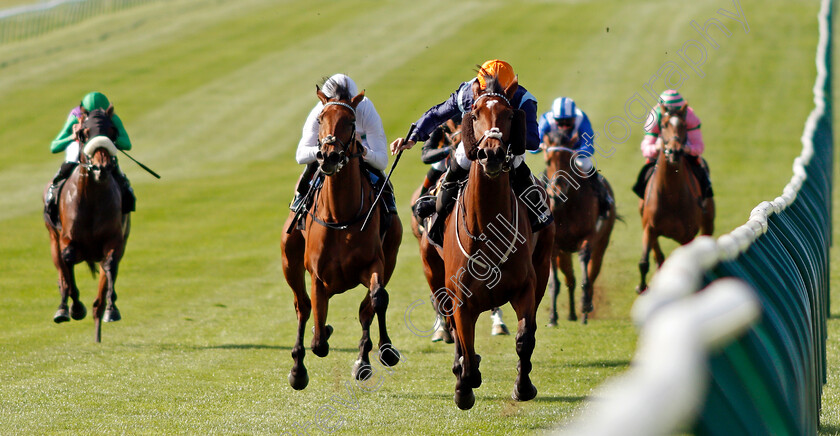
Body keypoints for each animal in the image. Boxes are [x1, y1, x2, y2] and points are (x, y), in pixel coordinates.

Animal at [44, 106, 130, 344]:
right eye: (84, 132)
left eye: (112, 131)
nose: (102, 168)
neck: (92, 199)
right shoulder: (67, 239)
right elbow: (67, 263)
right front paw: (74, 308)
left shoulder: (115, 240)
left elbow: (110, 265)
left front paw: (112, 309)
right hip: (52, 238)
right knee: (61, 270)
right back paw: (63, 307)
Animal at [278, 83, 404, 390]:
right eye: (321, 118)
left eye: (351, 121)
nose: (329, 156)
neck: (341, 217)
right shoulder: (317, 275)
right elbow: (318, 337)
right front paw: (316, 338)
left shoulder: (375, 263)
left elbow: (377, 299)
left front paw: (385, 351)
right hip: (290, 261)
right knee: (303, 307)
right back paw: (298, 368)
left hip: (391, 256)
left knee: (365, 308)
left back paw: (363, 361)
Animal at [418, 75, 552, 408]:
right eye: (475, 114)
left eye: (509, 114)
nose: (491, 153)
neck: (488, 226)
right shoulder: (460, 297)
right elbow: (465, 343)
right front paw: (464, 386)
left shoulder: (526, 287)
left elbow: (524, 338)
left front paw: (523, 386)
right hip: (432, 270)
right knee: (451, 325)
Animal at [540, 131, 616, 326]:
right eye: (548, 161)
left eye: (568, 160)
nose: (557, 193)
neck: (566, 206)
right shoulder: (554, 247)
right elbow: (554, 283)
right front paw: (552, 317)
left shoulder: (587, 238)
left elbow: (585, 274)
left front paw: (585, 306)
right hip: (564, 253)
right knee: (570, 280)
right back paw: (572, 314)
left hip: (602, 243)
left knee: (592, 272)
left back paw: (584, 312)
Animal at [640, 104, 712, 292]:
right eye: (664, 125)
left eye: (684, 125)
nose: (675, 151)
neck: (670, 196)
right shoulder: (649, 228)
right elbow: (644, 261)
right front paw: (641, 287)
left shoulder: (687, 235)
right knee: (658, 257)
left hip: (708, 222)